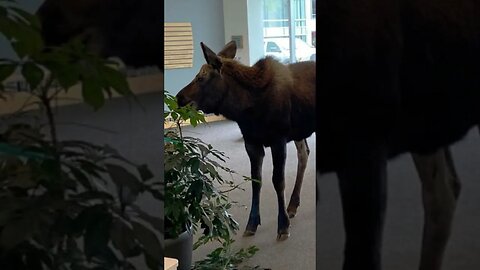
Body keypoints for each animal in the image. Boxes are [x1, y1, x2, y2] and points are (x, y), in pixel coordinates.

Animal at [175, 41, 316, 239]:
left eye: (201, 78)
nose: (179, 97)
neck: (247, 109)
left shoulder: (278, 139)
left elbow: (278, 181)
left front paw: (283, 225)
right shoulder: (252, 143)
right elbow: (256, 181)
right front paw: (252, 223)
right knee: (304, 154)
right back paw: (293, 205)